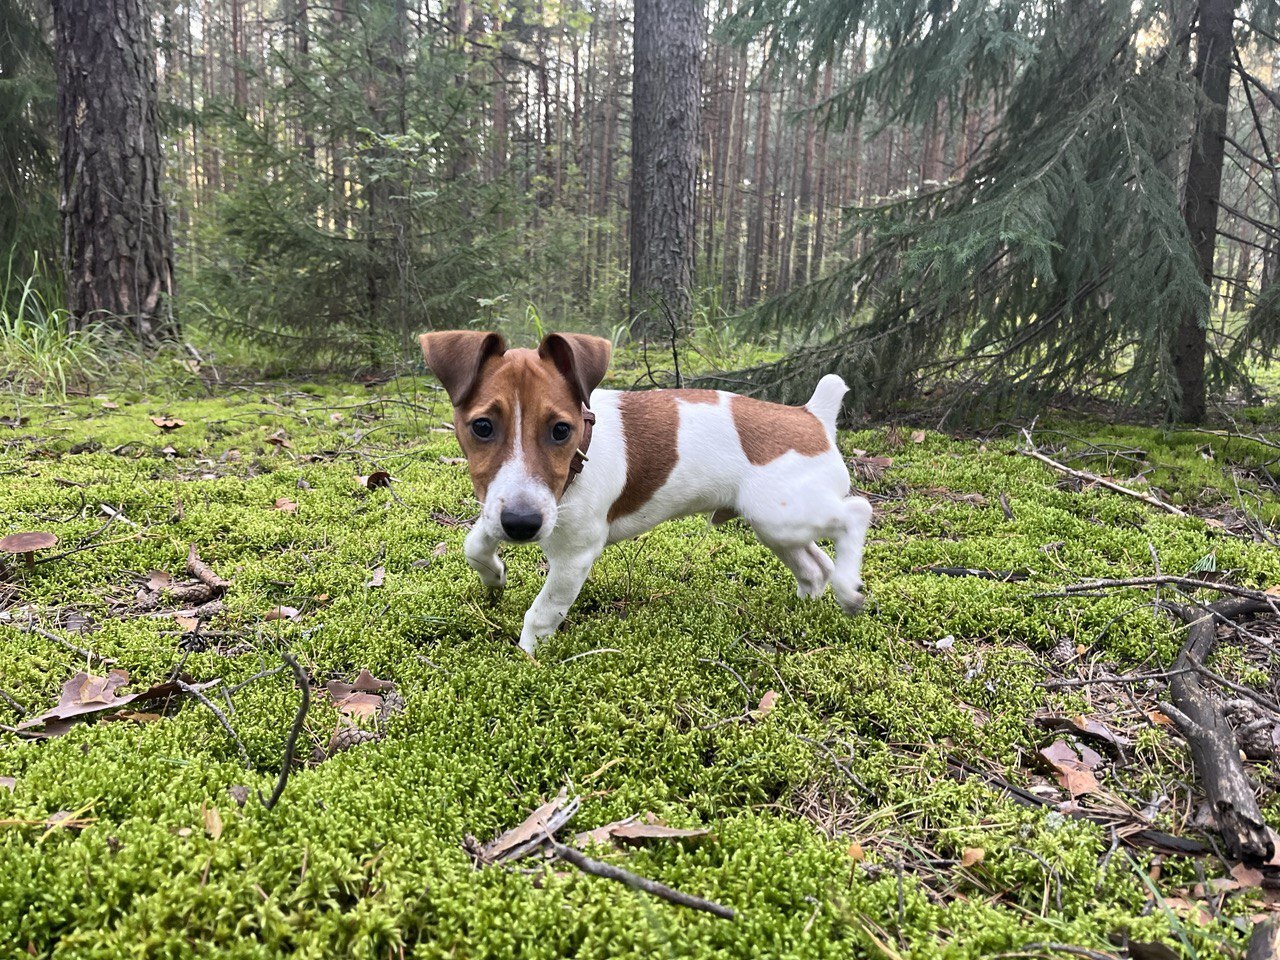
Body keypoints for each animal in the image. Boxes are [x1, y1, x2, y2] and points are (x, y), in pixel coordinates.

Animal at [419, 330, 870, 655]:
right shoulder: (501, 509)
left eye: (561, 430)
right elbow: (475, 544)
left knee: (857, 512)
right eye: (481, 427)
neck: (580, 456)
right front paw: (494, 574)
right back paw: (807, 606)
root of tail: (811, 417)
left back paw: (849, 588)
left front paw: (526, 658)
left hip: (781, 514)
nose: (521, 526)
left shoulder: (574, 557)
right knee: (815, 566)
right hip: (777, 526)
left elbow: (542, 613)